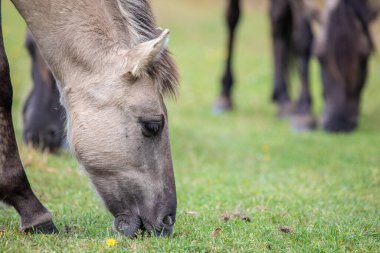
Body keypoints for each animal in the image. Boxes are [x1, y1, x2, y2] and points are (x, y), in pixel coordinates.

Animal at [214, 0, 314, 130]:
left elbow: (302, 34)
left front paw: (303, 108)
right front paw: (304, 109)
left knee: (277, 19)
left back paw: (282, 97)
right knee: (232, 17)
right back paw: (225, 94)